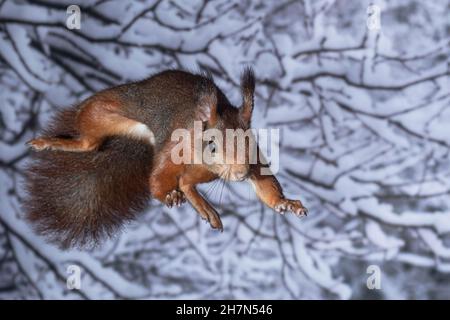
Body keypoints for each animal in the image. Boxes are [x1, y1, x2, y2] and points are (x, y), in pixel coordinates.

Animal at [23, 69, 306, 249]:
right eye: (213, 146)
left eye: (250, 142)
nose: (240, 174)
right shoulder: (173, 149)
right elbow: (158, 177)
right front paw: (166, 195)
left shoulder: (254, 163)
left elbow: (266, 185)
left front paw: (285, 203)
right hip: (101, 112)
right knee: (89, 143)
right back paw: (54, 142)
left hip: (207, 173)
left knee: (187, 183)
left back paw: (204, 207)